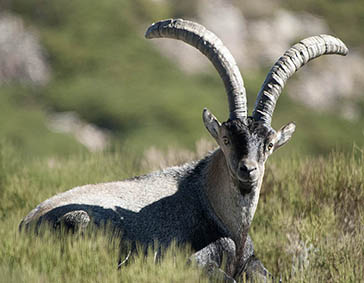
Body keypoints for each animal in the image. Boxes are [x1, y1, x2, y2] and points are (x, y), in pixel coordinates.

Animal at [19, 18, 346, 282]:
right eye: (226, 138)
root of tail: (26, 223)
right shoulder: (192, 261)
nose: (248, 170)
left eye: (269, 144)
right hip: (80, 220)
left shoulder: (253, 263)